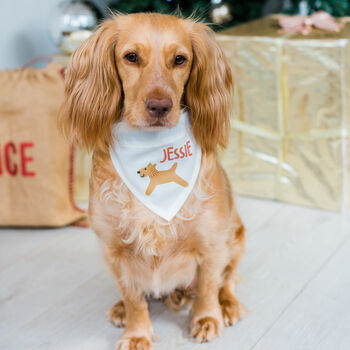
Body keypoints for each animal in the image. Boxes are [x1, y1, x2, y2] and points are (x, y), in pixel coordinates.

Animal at [60, 12, 245, 348]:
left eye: (180, 59)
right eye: (131, 57)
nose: (160, 106)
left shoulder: (212, 243)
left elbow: (209, 285)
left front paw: (207, 318)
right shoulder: (115, 251)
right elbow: (133, 297)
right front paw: (137, 332)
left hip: (237, 237)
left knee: (227, 281)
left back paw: (227, 305)